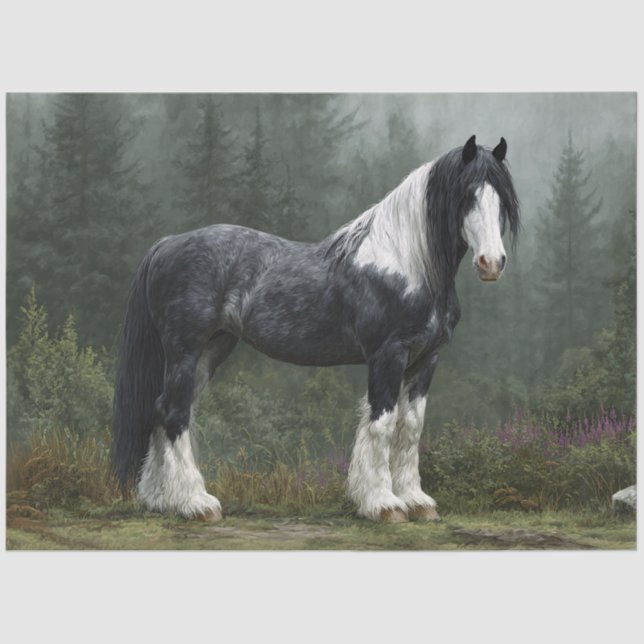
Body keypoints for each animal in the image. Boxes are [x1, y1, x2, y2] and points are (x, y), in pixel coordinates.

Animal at [112, 135, 520, 523]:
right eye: (466, 196)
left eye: (501, 200)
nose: (491, 263)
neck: (405, 264)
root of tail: (167, 245)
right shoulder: (387, 355)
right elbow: (383, 424)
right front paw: (383, 504)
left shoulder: (425, 359)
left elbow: (410, 427)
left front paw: (415, 501)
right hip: (185, 350)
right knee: (174, 413)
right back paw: (196, 503)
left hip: (211, 350)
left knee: (162, 410)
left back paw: (160, 501)